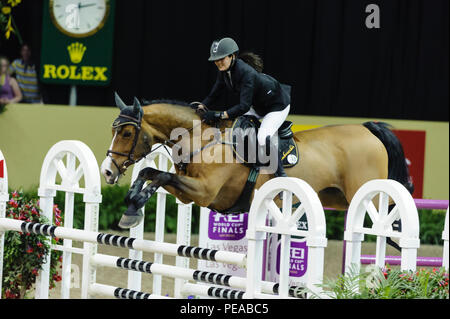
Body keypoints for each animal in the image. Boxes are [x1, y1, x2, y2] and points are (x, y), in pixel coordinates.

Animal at [101, 93, 412, 230]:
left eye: (126, 133)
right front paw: (131, 205)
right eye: (113, 130)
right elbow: (151, 173)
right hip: (338, 198)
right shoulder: (189, 194)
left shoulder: (204, 192)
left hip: (367, 196)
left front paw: (135, 206)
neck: (201, 139)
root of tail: (367, 129)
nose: (107, 172)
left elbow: (160, 175)